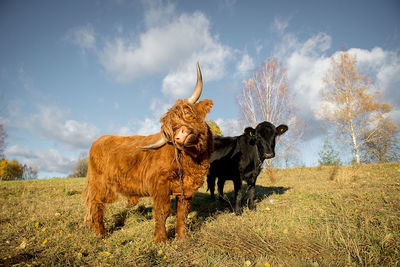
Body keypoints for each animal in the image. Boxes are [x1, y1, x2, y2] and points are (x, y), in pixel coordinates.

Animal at [83, 62, 214, 243]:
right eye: (169, 133)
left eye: (187, 112)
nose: (179, 137)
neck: (194, 161)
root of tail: (100, 139)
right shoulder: (159, 184)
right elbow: (163, 211)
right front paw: (161, 240)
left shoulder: (186, 189)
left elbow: (183, 212)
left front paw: (182, 237)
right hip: (98, 185)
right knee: (96, 205)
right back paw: (101, 234)